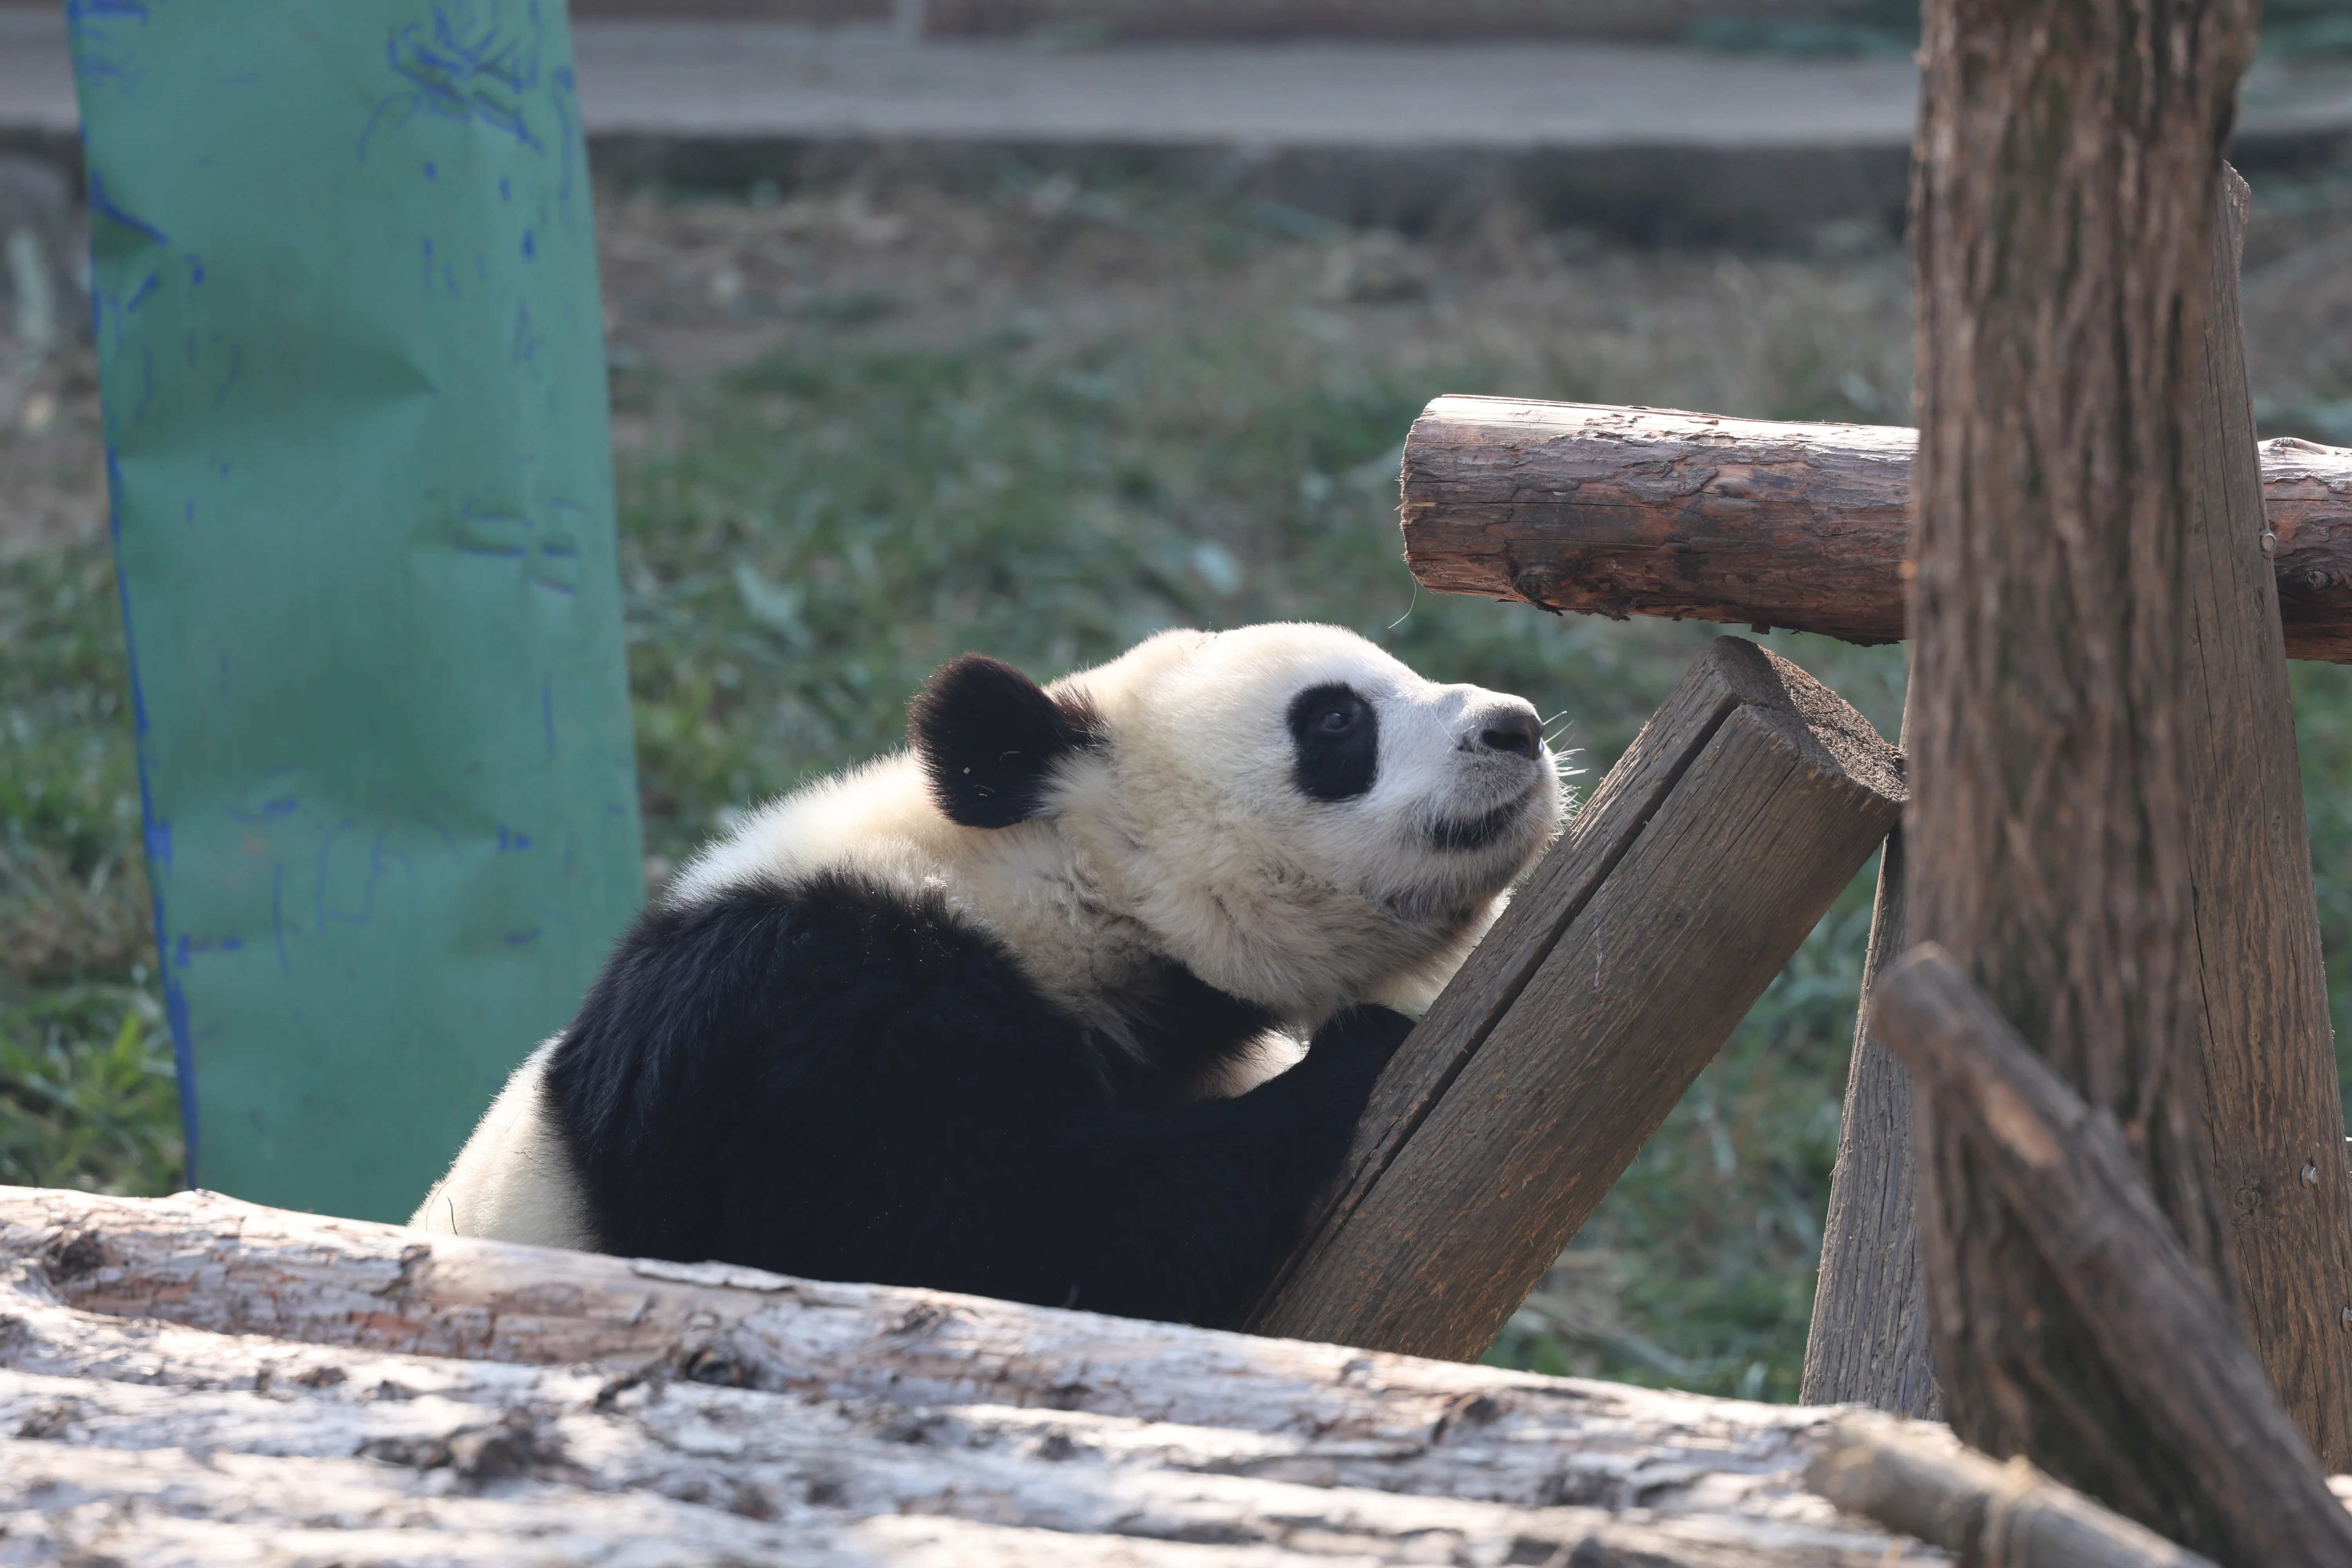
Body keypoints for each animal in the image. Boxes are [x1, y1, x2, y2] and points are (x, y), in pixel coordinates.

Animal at [412, 622, 1561, 1329]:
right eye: (1335, 720)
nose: (1515, 727)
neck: (1048, 888)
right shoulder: (806, 1024)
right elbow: (994, 1236)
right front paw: (1357, 1053)